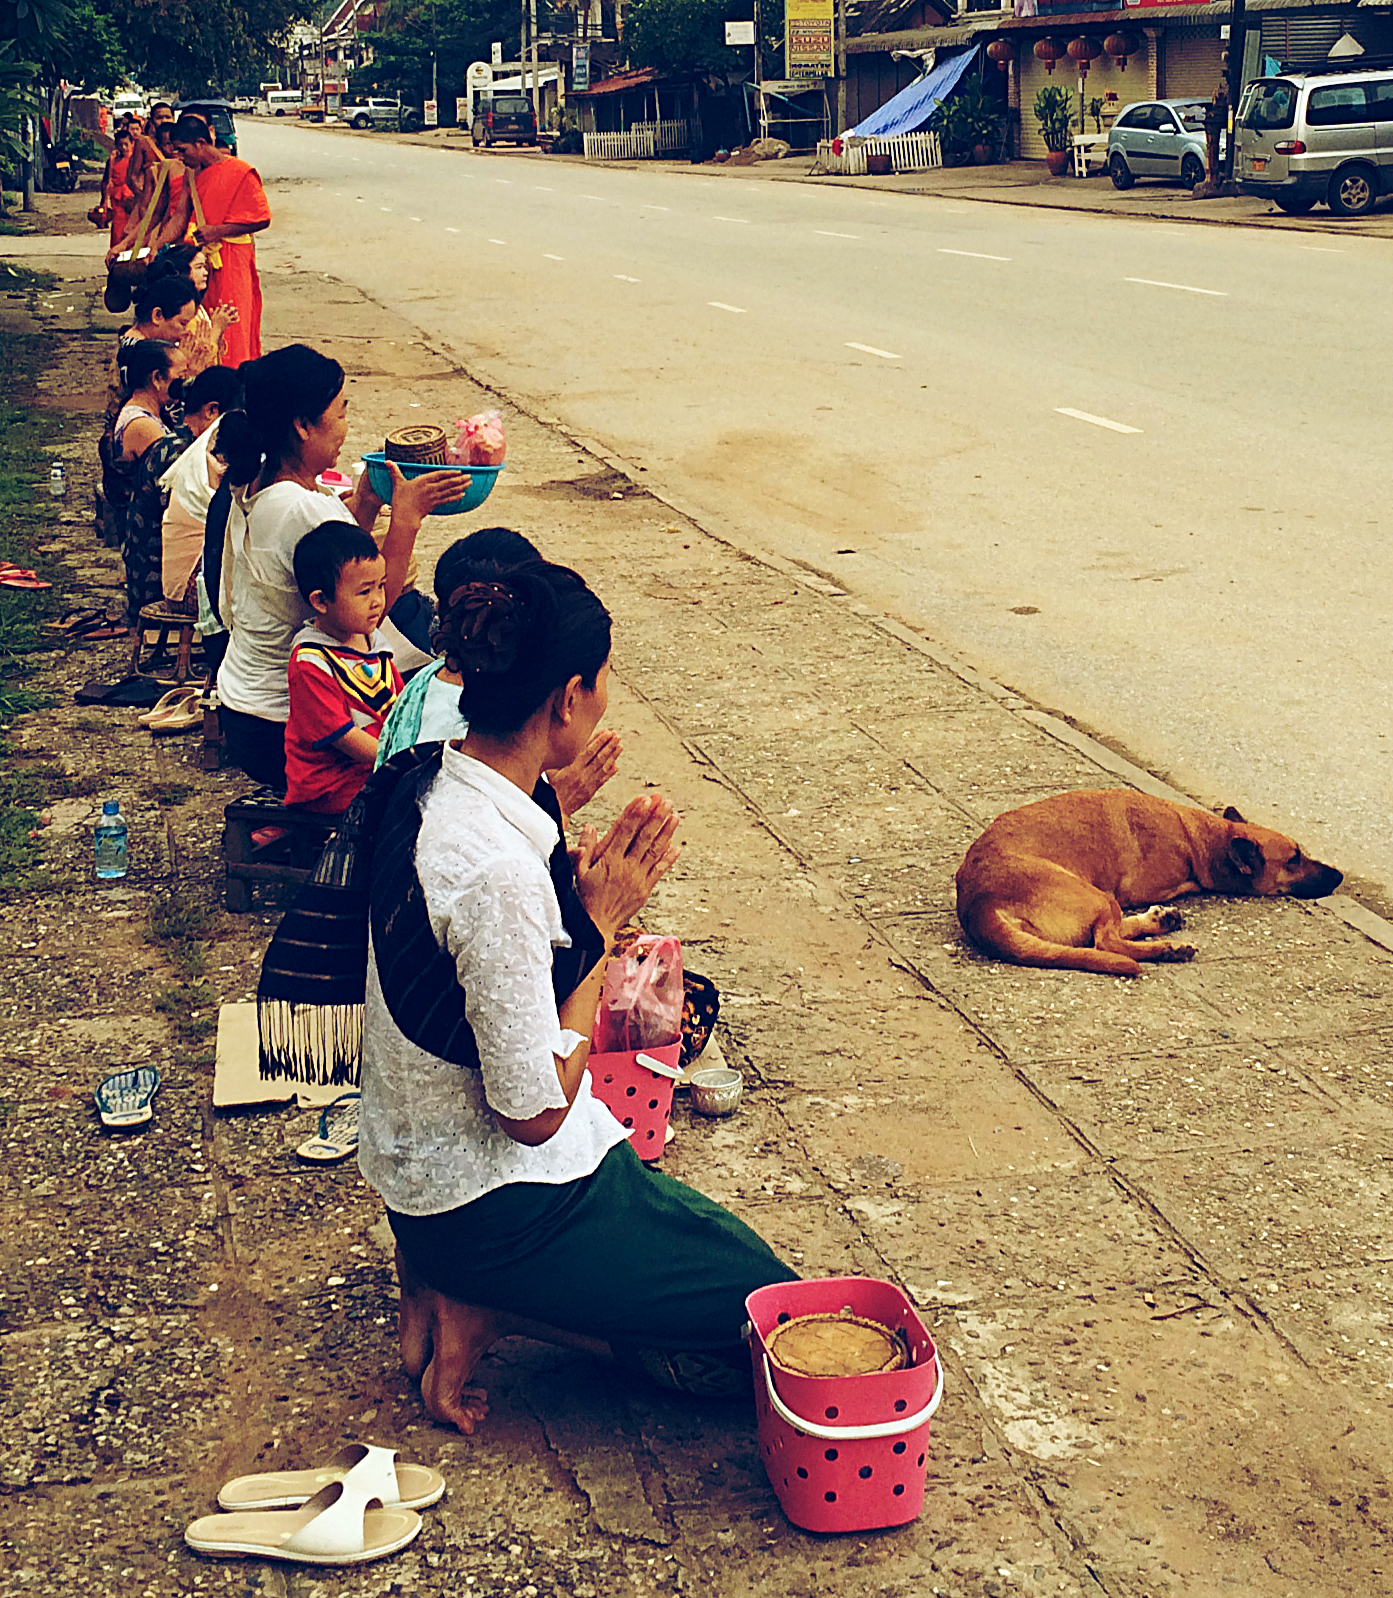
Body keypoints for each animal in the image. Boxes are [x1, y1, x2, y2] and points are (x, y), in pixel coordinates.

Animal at [958, 786, 1335, 971]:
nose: (1339, 875)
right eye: (1294, 859)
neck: (1205, 836)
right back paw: (1165, 948)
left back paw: (1160, 923)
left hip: (1100, 899)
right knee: (1106, 942)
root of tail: (978, 905)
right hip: (1098, 895)